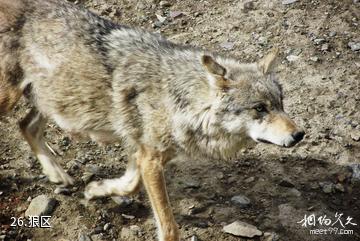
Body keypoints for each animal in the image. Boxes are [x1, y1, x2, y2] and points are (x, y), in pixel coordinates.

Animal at [0, 0, 304, 240]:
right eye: (260, 108)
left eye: (281, 104)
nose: (299, 134)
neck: (177, 98)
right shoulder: (151, 158)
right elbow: (169, 228)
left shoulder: (146, 154)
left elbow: (129, 184)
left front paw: (97, 190)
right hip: (14, 99)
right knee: (22, 124)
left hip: (53, 102)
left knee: (25, 126)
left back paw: (57, 175)